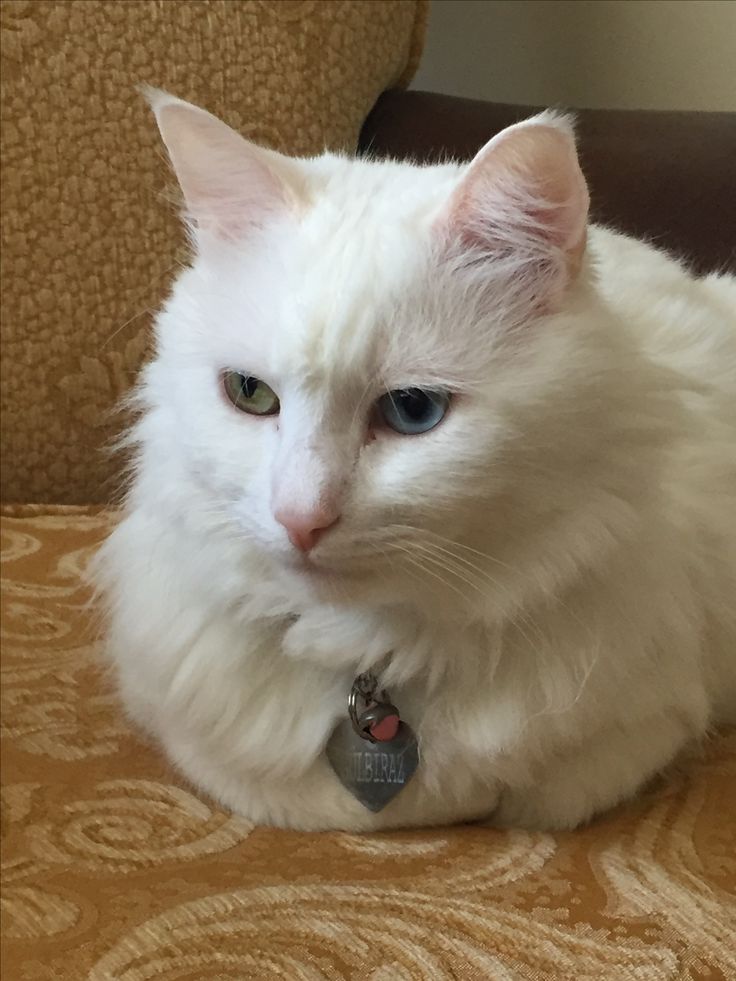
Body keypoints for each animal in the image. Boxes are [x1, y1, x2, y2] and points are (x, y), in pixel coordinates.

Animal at [93, 90, 736, 828]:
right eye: (250, 394)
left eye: (413, 410)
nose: (300, 519)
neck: (371, 661)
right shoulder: (191, 729)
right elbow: (282, 792)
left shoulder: (631, 733)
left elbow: (521, 793)